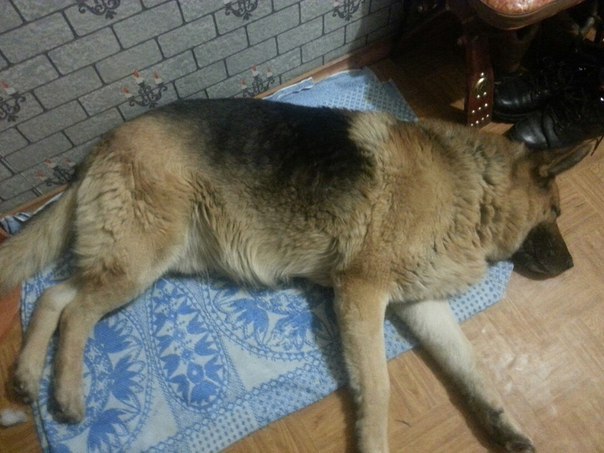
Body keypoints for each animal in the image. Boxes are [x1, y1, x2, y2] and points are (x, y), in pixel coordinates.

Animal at [0, 98, 591, 452]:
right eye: (558, 213)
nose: (572, 267)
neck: (472, 185)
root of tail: (102, 145)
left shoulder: (419, 305)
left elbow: (473, 371)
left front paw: (505, 427)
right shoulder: (362, 293)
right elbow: (378, 387)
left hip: (135, 261)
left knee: (54, 296)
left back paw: (28, 377)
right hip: (141, 262)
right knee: (76, 309)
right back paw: (68, 392)